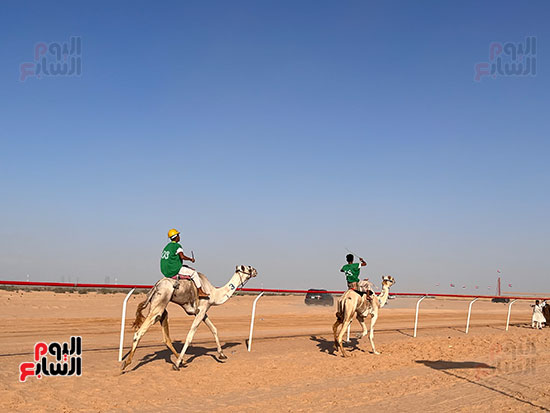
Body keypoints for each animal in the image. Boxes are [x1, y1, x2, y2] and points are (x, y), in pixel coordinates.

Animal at [121, 266, 258, 372]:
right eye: (249, 268)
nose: (256, 271)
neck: (213, 293)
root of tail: (156, 285)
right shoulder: (201, 311)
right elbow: (189, 336)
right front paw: (176, 365)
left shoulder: (202, 312)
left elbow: (214, 329)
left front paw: (222, 354)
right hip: (160, 303)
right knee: (139, 332)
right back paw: (126, 363)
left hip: (159, 306)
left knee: (165, 336)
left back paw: (182, 361)